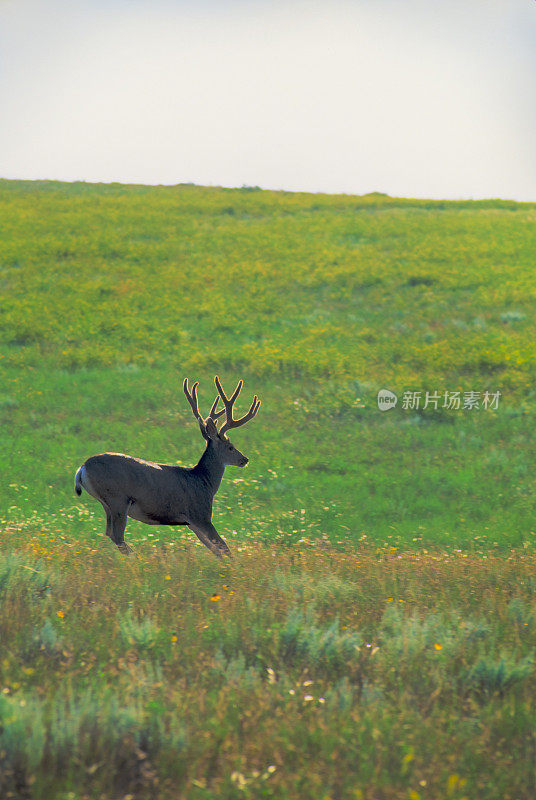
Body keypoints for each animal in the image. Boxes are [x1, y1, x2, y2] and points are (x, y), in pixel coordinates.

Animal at [74, 376, 262, 556]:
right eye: (230, 446)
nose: (245, 459)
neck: (204, 483)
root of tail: (82, 468)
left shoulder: (191, 522)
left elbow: (215, 550)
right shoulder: (200, 514)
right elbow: (224, 548)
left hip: (107, 503)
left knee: (109, 533)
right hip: (117, 498)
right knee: (117, 536)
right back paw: (138, 559)